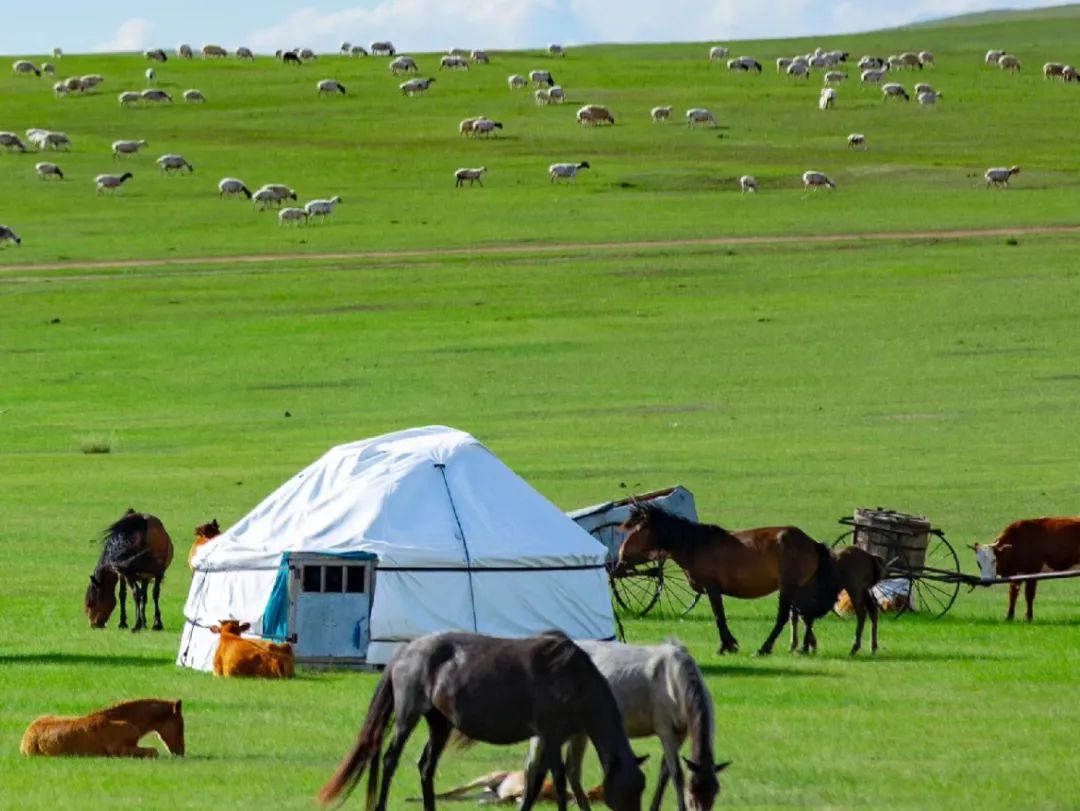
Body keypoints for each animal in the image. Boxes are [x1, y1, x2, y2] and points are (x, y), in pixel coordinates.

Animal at [315, 630, 643, 811]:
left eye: (641, 789)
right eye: (627, 792)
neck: (574, 678)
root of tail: (406, 650)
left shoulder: (548, 738)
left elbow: (536, 781)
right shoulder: (551, 736)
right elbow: (559, 782)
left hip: (440, 723)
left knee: (426, 766)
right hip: (408, 716)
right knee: (390, 760)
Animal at [535, 639, 730, 811]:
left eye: (715, 792)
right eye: (692, 791)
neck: (675, 678)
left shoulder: (680, 733)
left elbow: (665, 772)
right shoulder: (665, 730)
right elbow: (677, 774)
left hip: (580, 731)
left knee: (572, 770)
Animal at [617, 507, 842, 660]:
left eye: (637, 531)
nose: (620, 558)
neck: (696, 545)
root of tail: (813, 543)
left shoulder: (712, 588)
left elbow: (719, 617)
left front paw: (727, 645)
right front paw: (729, 644)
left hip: (788, 587)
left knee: (785, 618)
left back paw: (765, 648)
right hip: (801, 588)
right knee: (806, 616)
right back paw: (805, 646)